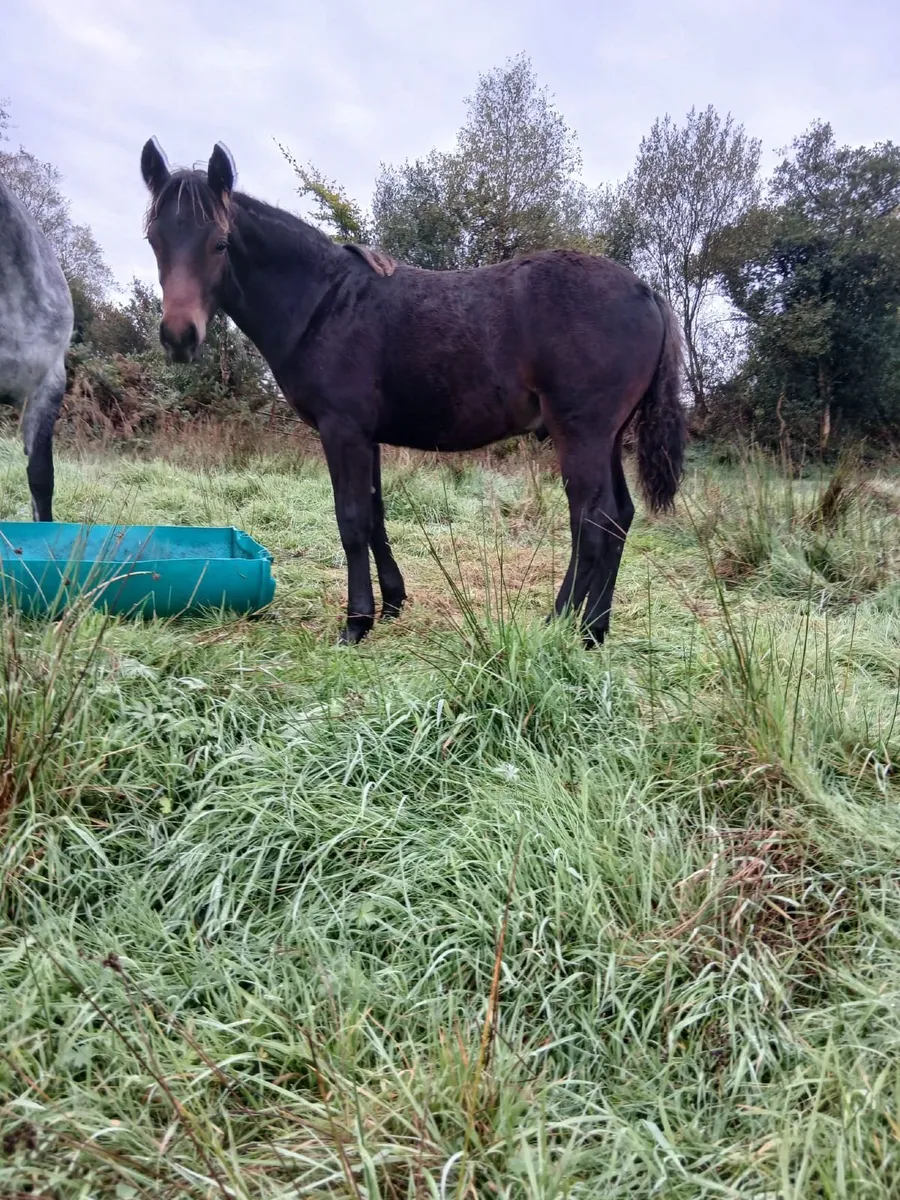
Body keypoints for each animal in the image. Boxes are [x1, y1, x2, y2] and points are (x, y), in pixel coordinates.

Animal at [140, 138, 687, 646]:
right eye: (153, 240)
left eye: (220, 243)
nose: (179, 336)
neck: (324, 303)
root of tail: (647, 292)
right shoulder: (368, 436)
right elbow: (376, 514)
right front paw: (393, 602)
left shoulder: (342, 430)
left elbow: (352, 520)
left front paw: (356, 622)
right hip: (608, 437)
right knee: (618, 517)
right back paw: (594, 630)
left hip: (581, 434)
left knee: (592, 522)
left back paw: (560, 625)